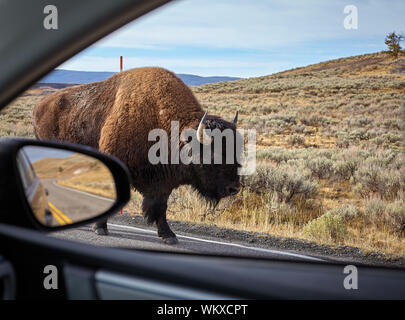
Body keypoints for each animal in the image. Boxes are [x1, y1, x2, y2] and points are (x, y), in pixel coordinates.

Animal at [33, 66, 240, 244]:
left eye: (237, 150)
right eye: (213, 154)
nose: (234, 189)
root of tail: (40, 105)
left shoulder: (162, 182)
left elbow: (160, 207)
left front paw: (168, 235)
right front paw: (100, 228)